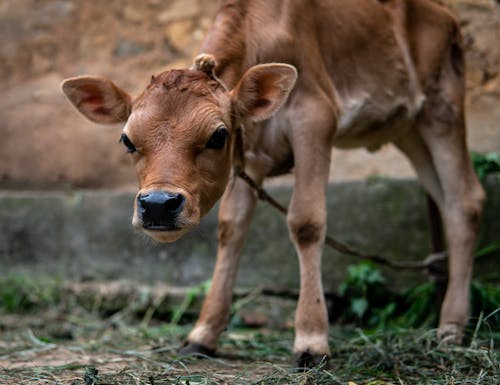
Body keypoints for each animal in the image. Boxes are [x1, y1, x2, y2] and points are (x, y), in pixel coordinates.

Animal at [60, 0, 482, 368]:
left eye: (217, 136)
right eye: (127, 140)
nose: (158, 204)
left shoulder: (315, 117)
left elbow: (306, 222)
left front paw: (311, 340)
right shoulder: (251, 151)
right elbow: (231, 228)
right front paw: (202, 334)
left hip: (442, 107)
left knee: (465, 200)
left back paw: (451, 328)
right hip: (409, 129)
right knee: (445, 199)